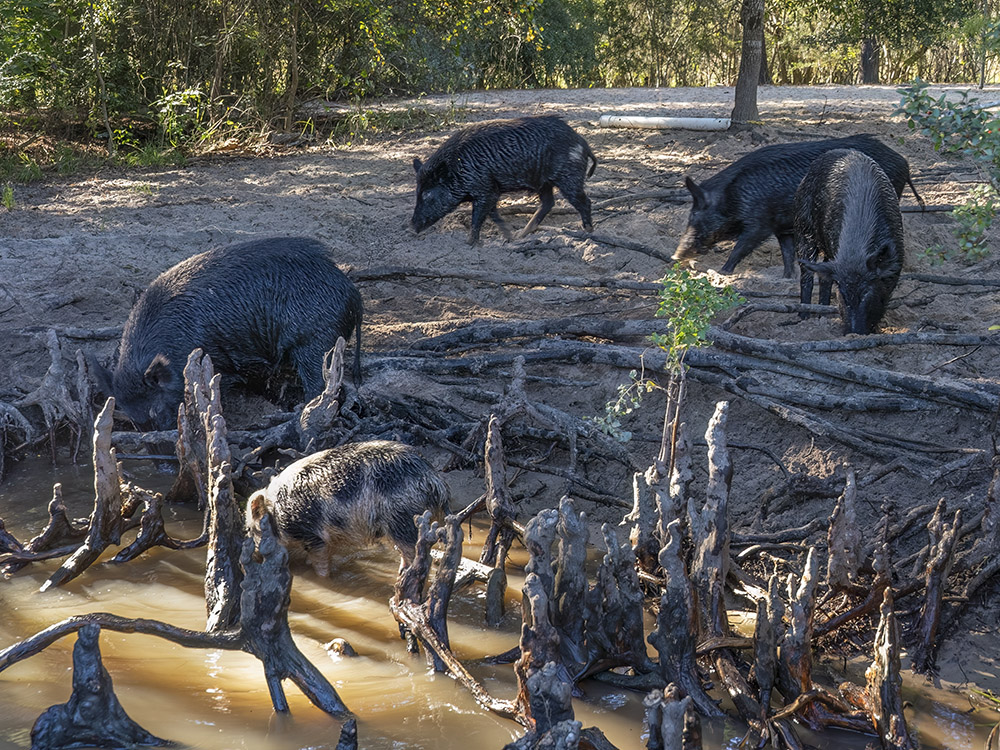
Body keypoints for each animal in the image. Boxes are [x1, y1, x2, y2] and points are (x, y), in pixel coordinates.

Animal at [100, 237, 362, 431]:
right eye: (133, 419)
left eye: (159, 409)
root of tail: (353, 292)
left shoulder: (217, 361)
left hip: (316, 340)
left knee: (320, 383)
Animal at [245, 440, 451, 576]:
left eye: (248, 529)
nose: (253, 554)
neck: (278, 513)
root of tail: (435, 480)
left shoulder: (312, 534)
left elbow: (321, 565)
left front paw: (324, 579)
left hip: (403, 518)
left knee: (415, 555)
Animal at [411, 115, 597, 244]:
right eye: (417, 192)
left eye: (427, 195)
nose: (412, 226)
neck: (459, 169)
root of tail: (583, 143)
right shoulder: (490, 190)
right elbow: (493, 214)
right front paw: (508, 237)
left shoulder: (485, 190)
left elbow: (477, 218)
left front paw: (469, 243)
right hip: (543, 183)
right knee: (548, 203)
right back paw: (521, 235)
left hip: (568, 177)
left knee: (584, 201)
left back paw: (588, 231)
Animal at [673, 134, 921, 278]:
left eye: (696, 214)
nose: (676, 256)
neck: (732, 198)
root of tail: (905, 162)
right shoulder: (782, 228)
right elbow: (787, 252)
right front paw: (787, 277)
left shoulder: (759, 224)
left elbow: (741, 247)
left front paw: (723, 272)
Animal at [794, 148, 904, 335]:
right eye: (842, 293)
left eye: (866, 292)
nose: (853, 332)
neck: (855, 254)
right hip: (803, 226)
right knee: (807, 275)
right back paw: (804, 318)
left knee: (824, 278)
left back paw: (822, 315)